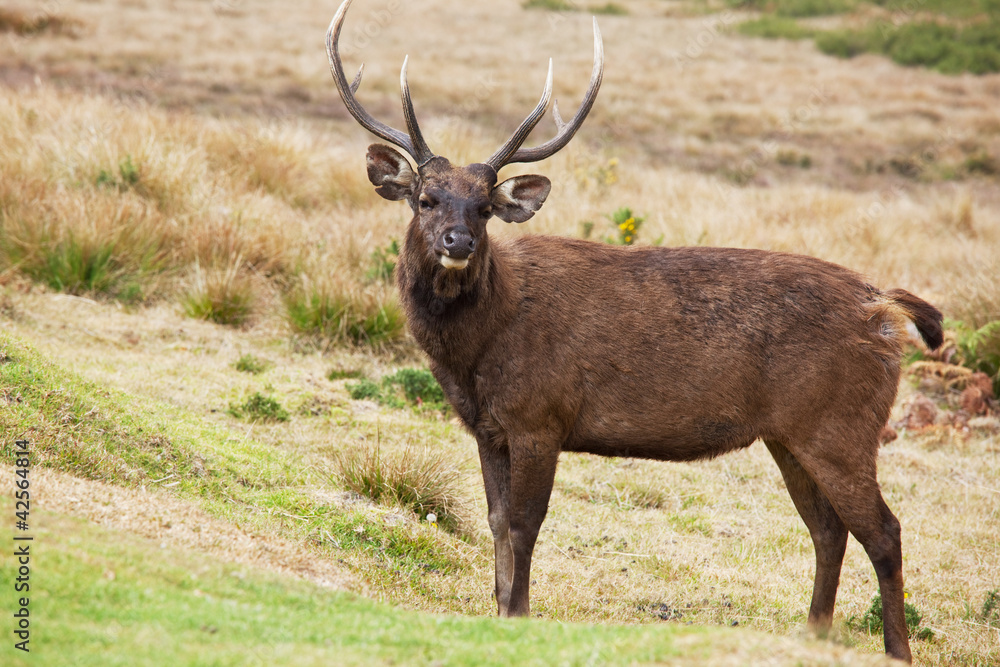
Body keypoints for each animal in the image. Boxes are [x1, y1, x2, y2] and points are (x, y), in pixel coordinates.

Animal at [326, 1, 942, 661]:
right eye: (425, 198)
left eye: (486, 207)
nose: (458, 241)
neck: (478, 352)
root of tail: (886, 308)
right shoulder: (489, 427)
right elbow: (493, 520)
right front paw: (497, 610)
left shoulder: (541, 415)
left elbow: (523, 522)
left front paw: (519, 613)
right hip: (792, 433)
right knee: (828, 530)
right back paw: (814, 633)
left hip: (843, 424)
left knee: (884, 530)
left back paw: (896, 650)